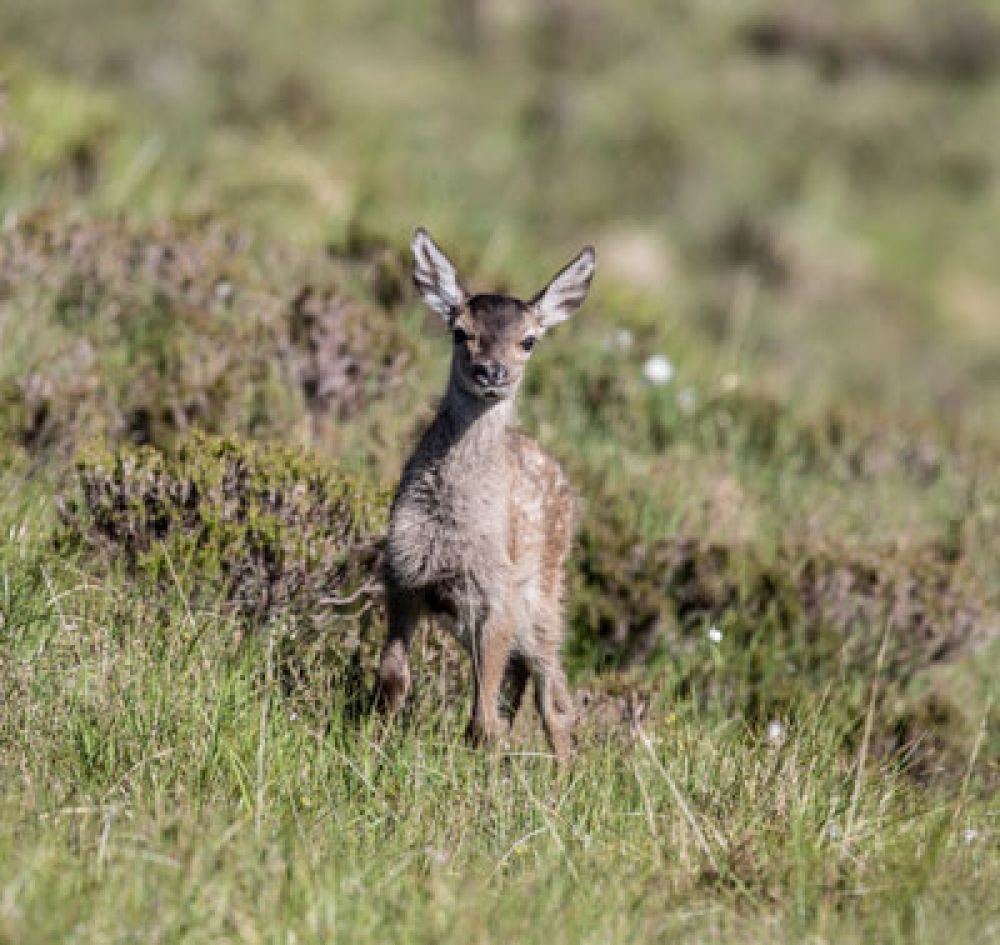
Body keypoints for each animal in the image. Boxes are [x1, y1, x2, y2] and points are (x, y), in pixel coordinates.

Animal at [376, 229, 592, 760]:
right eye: (459, 331)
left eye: (529, 341)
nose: (491, 372)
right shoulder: (403, 574)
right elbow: (392, 679)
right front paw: (371, 748)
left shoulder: (498, 593)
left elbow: (481, 721)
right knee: (523, 686)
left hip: (543, 596)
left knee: (553, 695)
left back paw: (563, 773)